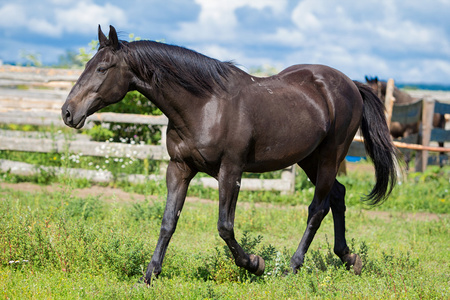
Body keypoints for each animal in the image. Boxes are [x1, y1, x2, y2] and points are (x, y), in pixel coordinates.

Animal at [61, 25, 400, 284]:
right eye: (87, 66)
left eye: (102, 68)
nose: (68, 112)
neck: (204, 105)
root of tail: (350, 85)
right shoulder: (179, 168)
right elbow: (168, 221)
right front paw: (149, 275)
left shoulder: (231, 171)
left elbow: (225, 226)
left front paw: (255, 264)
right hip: (309, 158)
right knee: (338, 197)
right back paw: (349, 258)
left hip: (330, 156)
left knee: (317, 209)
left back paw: (291, 267)